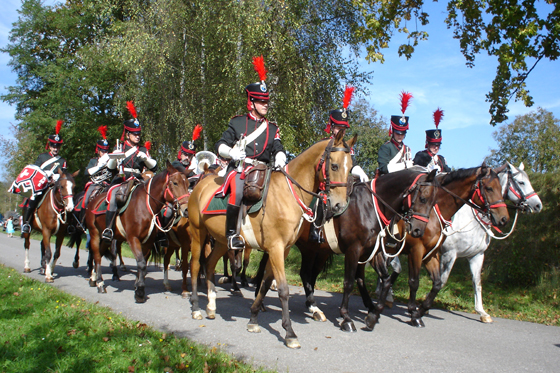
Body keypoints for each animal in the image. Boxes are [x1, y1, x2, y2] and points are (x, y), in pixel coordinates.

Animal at [85, 161, 190, 300]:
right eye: (175, 183)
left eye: (188, 184)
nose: (186, 209)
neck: (145, 206)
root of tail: (93, 201)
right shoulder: (133, 239)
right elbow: (141, 264)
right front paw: (139, 291)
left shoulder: (148, 242)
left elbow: (143, 264)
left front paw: (138, 286)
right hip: (95, 233)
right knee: (96, 255)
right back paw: (100, 283)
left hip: (107, 238)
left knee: (100, 253)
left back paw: (93, 279)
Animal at [186, 132, 356, 348]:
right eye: (334, 166)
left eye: (350, 167)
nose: (339, 205)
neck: (288, 193)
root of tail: (200, 185)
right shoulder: (276, 248)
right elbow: (282, 289)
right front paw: (290, 333)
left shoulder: (282, 249)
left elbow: (266, 284)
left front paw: (253, 319)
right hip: (198, 234)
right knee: (195, 266)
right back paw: (196, 308)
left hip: (223, 241)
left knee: (208, 265)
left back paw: (211, 305)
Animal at [256, 167, 440, 330]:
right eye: (423, 198)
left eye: (434, 202)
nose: (418, 230)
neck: (369, 207)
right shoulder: (354, 250)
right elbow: (349, 282)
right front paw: (346, 318)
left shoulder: (373, 252)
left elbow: (385, 280)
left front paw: (373, 316)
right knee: (272, 268)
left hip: (313, 250)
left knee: (307, 274)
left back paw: (313, 307)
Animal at [370, 164, 510, 326]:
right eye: (489, 188)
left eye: (501, 188)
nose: (504, 219)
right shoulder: (418, 251)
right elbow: (414, 282)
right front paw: (414, 312)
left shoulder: (432, 254)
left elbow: (439, 283)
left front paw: (421, 310)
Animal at [442, 161, 544, 322]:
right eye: (521, 182)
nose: (538, 205)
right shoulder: (449, 254)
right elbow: (440, 280)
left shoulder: (477, 256)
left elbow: (477, 282)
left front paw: (482, 312)